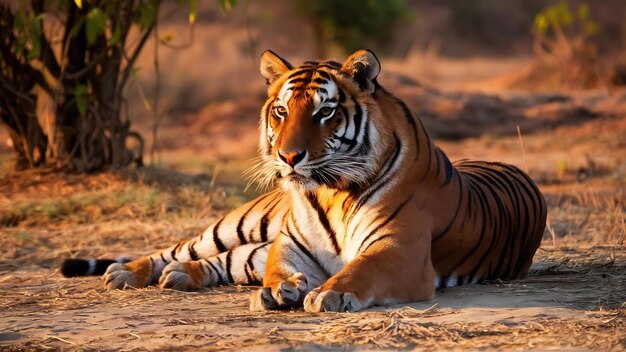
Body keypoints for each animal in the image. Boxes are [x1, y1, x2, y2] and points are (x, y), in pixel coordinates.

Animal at [61, 48, 544, 310]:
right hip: (239, 223)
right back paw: (129, 273)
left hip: (252, 242)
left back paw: (179, 276)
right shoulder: (289, 247)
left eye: (324, 112)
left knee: (226, 260)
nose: (288, 156)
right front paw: (280, 291)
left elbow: (361, 270)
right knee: (182, 249)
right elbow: (277, 271)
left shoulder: (399, 250)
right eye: (281, 111)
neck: (330, 193)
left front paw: (329, 295)